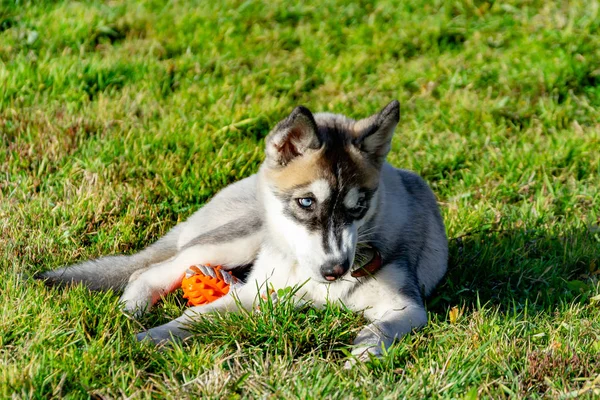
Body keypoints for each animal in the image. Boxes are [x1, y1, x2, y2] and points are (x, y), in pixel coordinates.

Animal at [39, 101, 448, 364]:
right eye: (306, 202)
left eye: (358, 206)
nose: (335, 270)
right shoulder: (257, 293)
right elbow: (195, 318)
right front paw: (145, 341)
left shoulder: (407, 306)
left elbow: (385, 327)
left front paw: (366, 350)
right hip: (241, 239)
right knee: (149, 269)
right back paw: (131, 310)